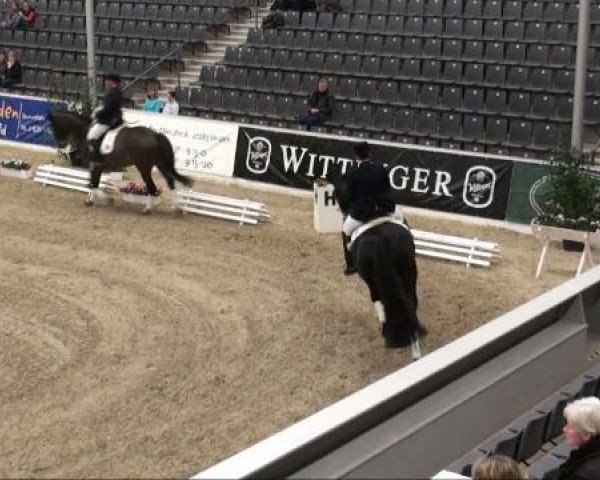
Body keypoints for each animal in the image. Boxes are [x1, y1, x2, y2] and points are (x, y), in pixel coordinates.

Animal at [47, 112, 191, 210]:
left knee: (152, 187)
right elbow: (93, 184)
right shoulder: (97, 167)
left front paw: (104, 199)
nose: (60, 145)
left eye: (54, 127)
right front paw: (92, 200)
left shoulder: (95, 166)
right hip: (160, 164)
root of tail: (156, 135)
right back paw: (176, 207)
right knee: (170, 182)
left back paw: (148, 208)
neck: (86, 134)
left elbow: (93, 185)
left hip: (144, 167)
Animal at [330, 174, 424, 358]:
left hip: (371, 279)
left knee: (377, 299)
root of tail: (381, 239)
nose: (341, 211)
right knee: (411, 303)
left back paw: (387, 330)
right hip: (409, 270)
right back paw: (415, 348)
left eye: (337, 193)